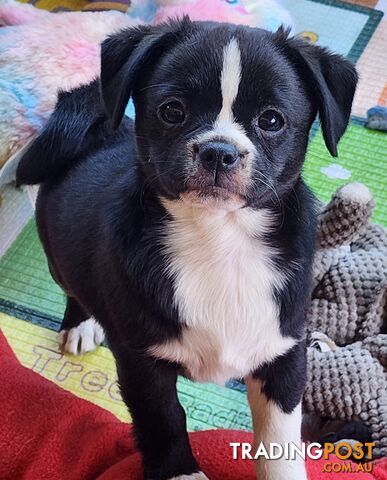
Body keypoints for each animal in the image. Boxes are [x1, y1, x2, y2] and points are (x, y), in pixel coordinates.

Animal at [17, 18, 358, 480]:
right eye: (172, 111)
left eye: (271, 120)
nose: (219, 151)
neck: (219, 238)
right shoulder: (142, 361)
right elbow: (164, 420)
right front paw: (180, 472)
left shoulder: (284, 350)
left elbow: (279, 438)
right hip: (58, 256)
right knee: (75, 288)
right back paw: (81, 325)